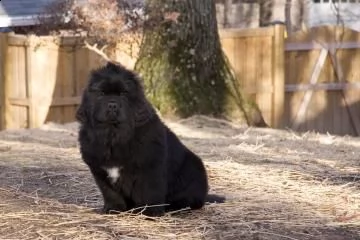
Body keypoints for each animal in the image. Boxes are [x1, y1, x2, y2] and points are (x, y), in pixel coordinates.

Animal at [76, 61, 224, 216]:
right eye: (102, 94)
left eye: (123, 94)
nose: (112, 104)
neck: (114, 134)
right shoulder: (100, 171)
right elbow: (110, 193)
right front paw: (113, 209)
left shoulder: (150, 166)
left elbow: (150, 190)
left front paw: (151, 212)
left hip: (193, 167)